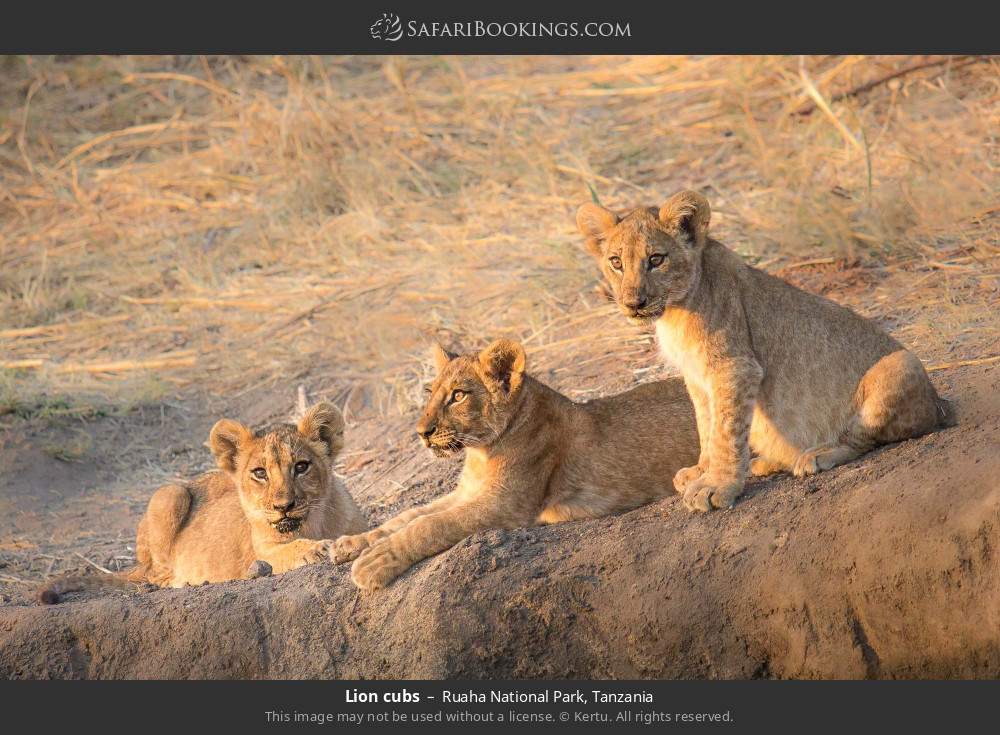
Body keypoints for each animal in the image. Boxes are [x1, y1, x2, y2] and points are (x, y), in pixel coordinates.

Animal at [38, 402, 367, 603]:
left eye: (301, 466)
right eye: (260, 473)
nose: (283, 506)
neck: (314, 523)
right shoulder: (265, 549)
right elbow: (289, 551)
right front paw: (315, 549)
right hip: (170, 494)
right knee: (157, 575)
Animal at [331, 339, 699, 591]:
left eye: (458, 395)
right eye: (430, 392)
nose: (421, 433)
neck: (480, 453)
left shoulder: (505, 506)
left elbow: (432, 524)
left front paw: (374, 562)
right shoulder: (465, 493)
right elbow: (408, 515)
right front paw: (350, 544)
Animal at [576, 190, 954, 513]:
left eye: (656, 259)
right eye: (616, 262)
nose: (634, 303)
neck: (673, 311)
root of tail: (940, 405)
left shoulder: (735, 367)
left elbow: (726, 430)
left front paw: (716, 487)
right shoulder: (697, 378)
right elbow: (706, 425)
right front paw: (701, 471)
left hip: (901, 364)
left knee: (864, 438)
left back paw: (815, 455)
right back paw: (766, 461)